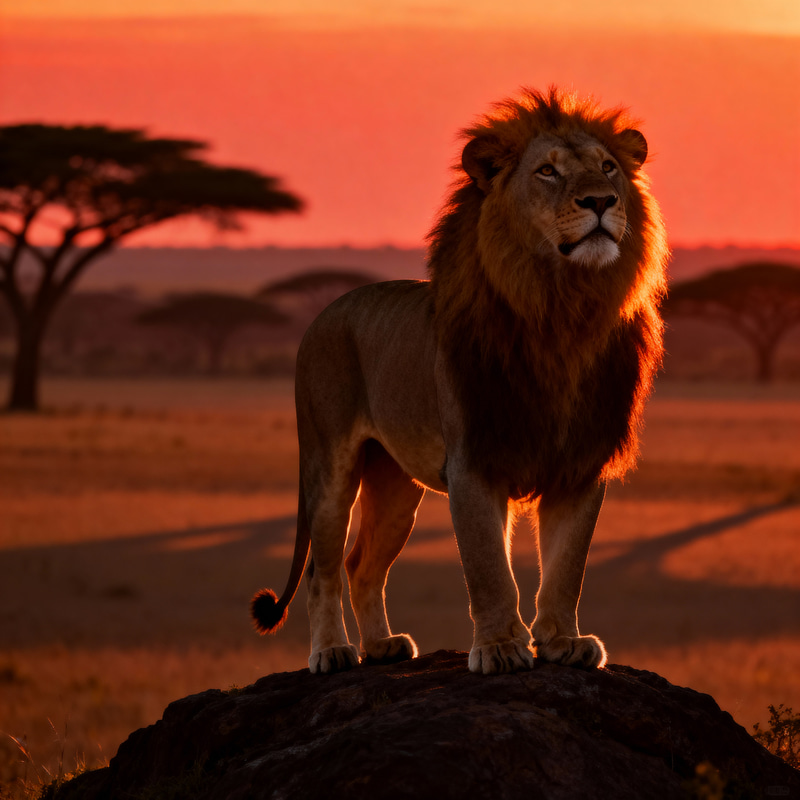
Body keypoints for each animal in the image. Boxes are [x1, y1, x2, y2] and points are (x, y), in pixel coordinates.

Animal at [251, 87, 668, 675]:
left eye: (608, 167)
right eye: (547, 171)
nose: (602, 201)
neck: (563, 309)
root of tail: (324, 312)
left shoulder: (579, 466)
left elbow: (567, 568)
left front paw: (564, 642)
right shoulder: (475, 461)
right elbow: (488, 568)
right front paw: (499, 648)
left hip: (395, 484)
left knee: (363, 565)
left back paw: (382, 645)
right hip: (329, 464)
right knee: (323, 568)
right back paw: (332, 651)